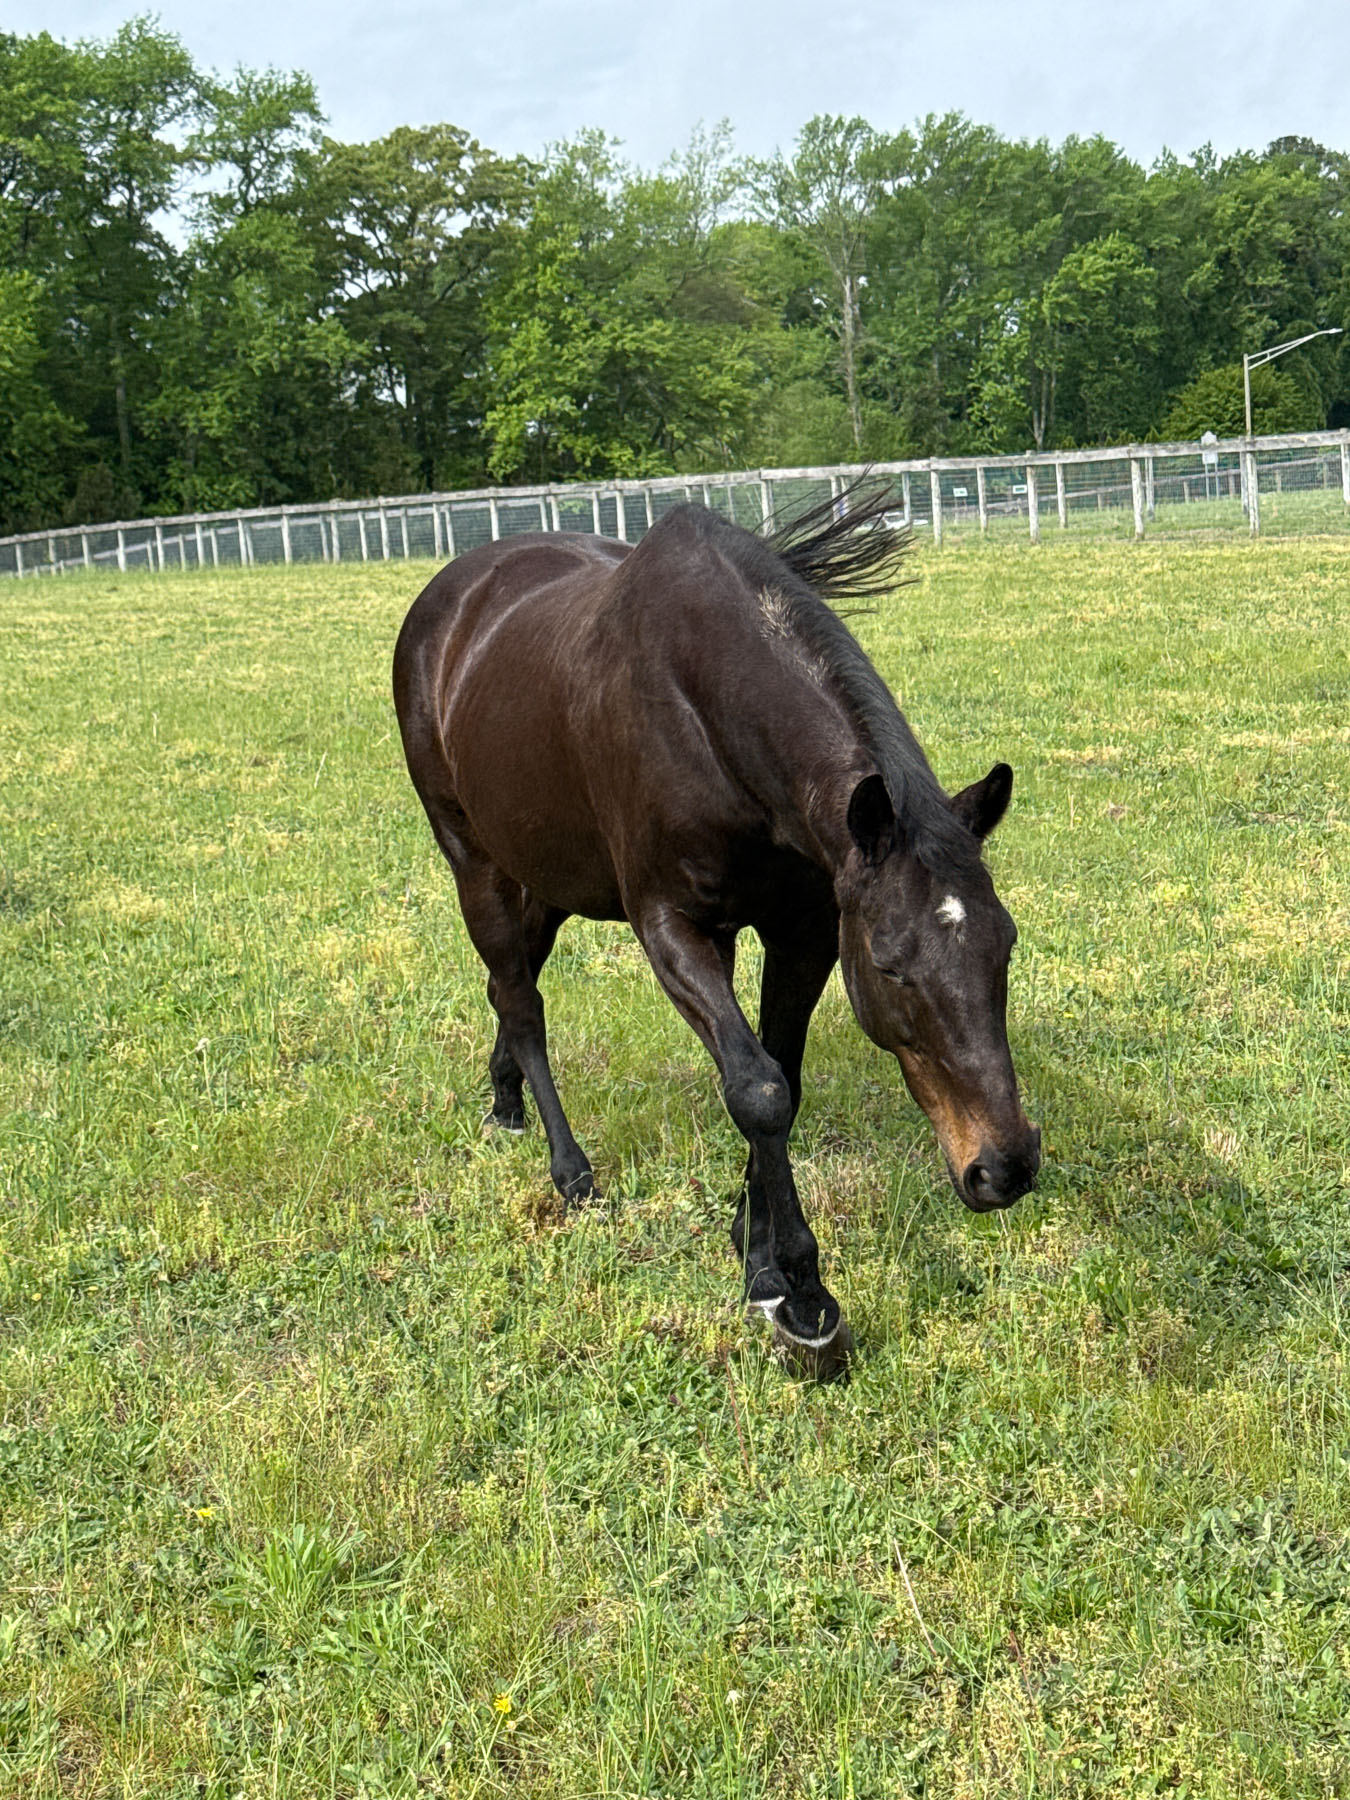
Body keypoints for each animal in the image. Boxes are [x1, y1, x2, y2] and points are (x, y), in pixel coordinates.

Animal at [392, 486, 1040, 1374]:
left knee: (510, 978)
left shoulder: (803, 929)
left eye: (1003, 945)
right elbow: (758, 1090)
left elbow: (779, 1076)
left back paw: (504, 1100)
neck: (704, 711)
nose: (1003, 1168)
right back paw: (571, 1173)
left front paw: (753, 1246)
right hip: (473, 858)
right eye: (891, 965)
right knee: (521, 1002)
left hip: (551, 873)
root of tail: (446, 599)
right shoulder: (671, 926)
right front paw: (800, 1295)